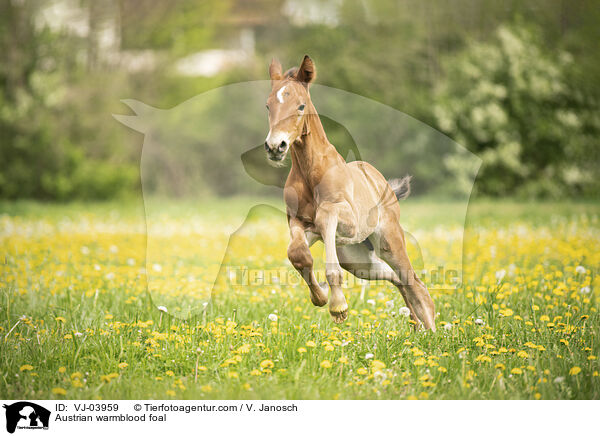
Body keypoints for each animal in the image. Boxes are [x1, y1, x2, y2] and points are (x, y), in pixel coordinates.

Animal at [262, 55, 436, 330]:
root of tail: (383, 183)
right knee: (398, 279)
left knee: (414, 282)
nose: (275, 146)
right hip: (358, 261)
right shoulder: (298, 223)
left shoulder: (345, 222)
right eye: (268, 106)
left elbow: (326, 224)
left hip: (389, 242)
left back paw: (433, 332)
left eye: (300, 106)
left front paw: (338, 307)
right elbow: (298, 254)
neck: (312, 172)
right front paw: (321, 296)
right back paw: (417, 326)